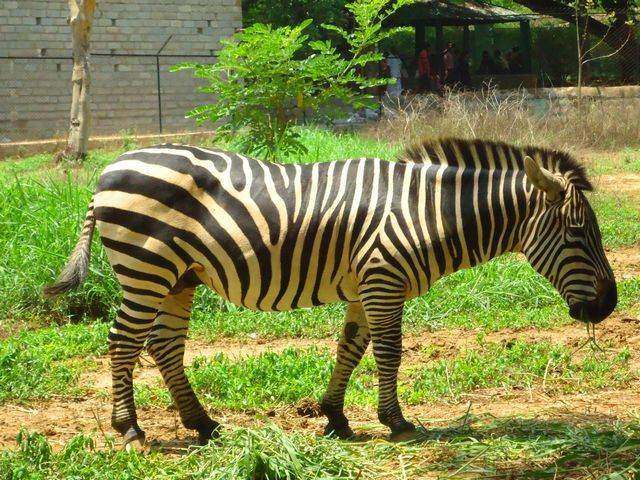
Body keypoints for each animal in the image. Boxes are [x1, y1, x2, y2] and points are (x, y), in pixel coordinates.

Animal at [43, 138, 616, 446]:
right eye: (577, 234)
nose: (609, 305)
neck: (425, 212)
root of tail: (106, 172)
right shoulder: (384, 278)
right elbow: (389, 352)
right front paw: (396, 422)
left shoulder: (367, 285)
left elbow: (350, 349)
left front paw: (335, 416)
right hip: (147, 268)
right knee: (123, 342)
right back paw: (130, 428)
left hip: (179, 277)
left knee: (163, 346)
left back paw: (202, 424)